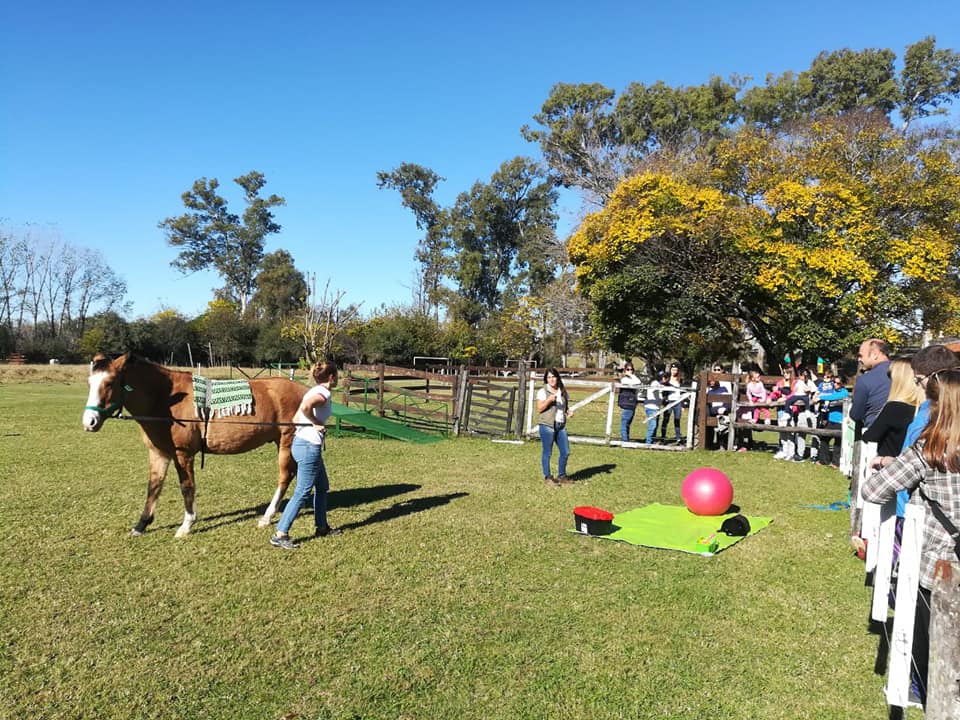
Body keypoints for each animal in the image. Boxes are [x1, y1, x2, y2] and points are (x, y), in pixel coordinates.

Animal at [84, 352, 308, 536]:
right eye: (89, 382)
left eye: (110, 382)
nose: (89, 422)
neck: (165, 399)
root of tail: (305, 391)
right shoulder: (159, 453)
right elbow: (154, 486)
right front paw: (141, 525)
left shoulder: (183, 454)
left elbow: (186, 487)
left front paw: (187, 524)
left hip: (287, 441)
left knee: (285, 476)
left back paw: (268, 516)